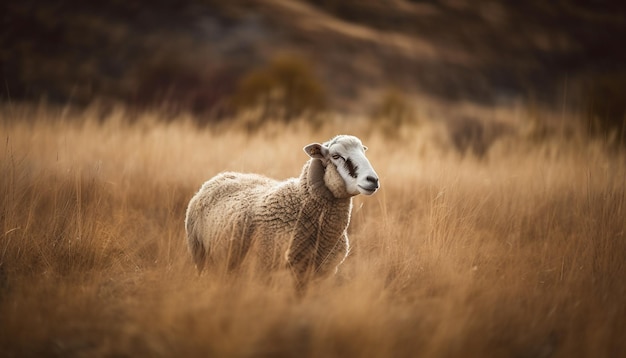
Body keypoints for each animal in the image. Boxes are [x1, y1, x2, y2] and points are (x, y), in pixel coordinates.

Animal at [184, 134, 380, 286]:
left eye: (363, 152)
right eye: (336, 156)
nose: (373, 180)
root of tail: (221, 176)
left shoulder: (319, 274)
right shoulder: (267, 269)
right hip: (200, 255)